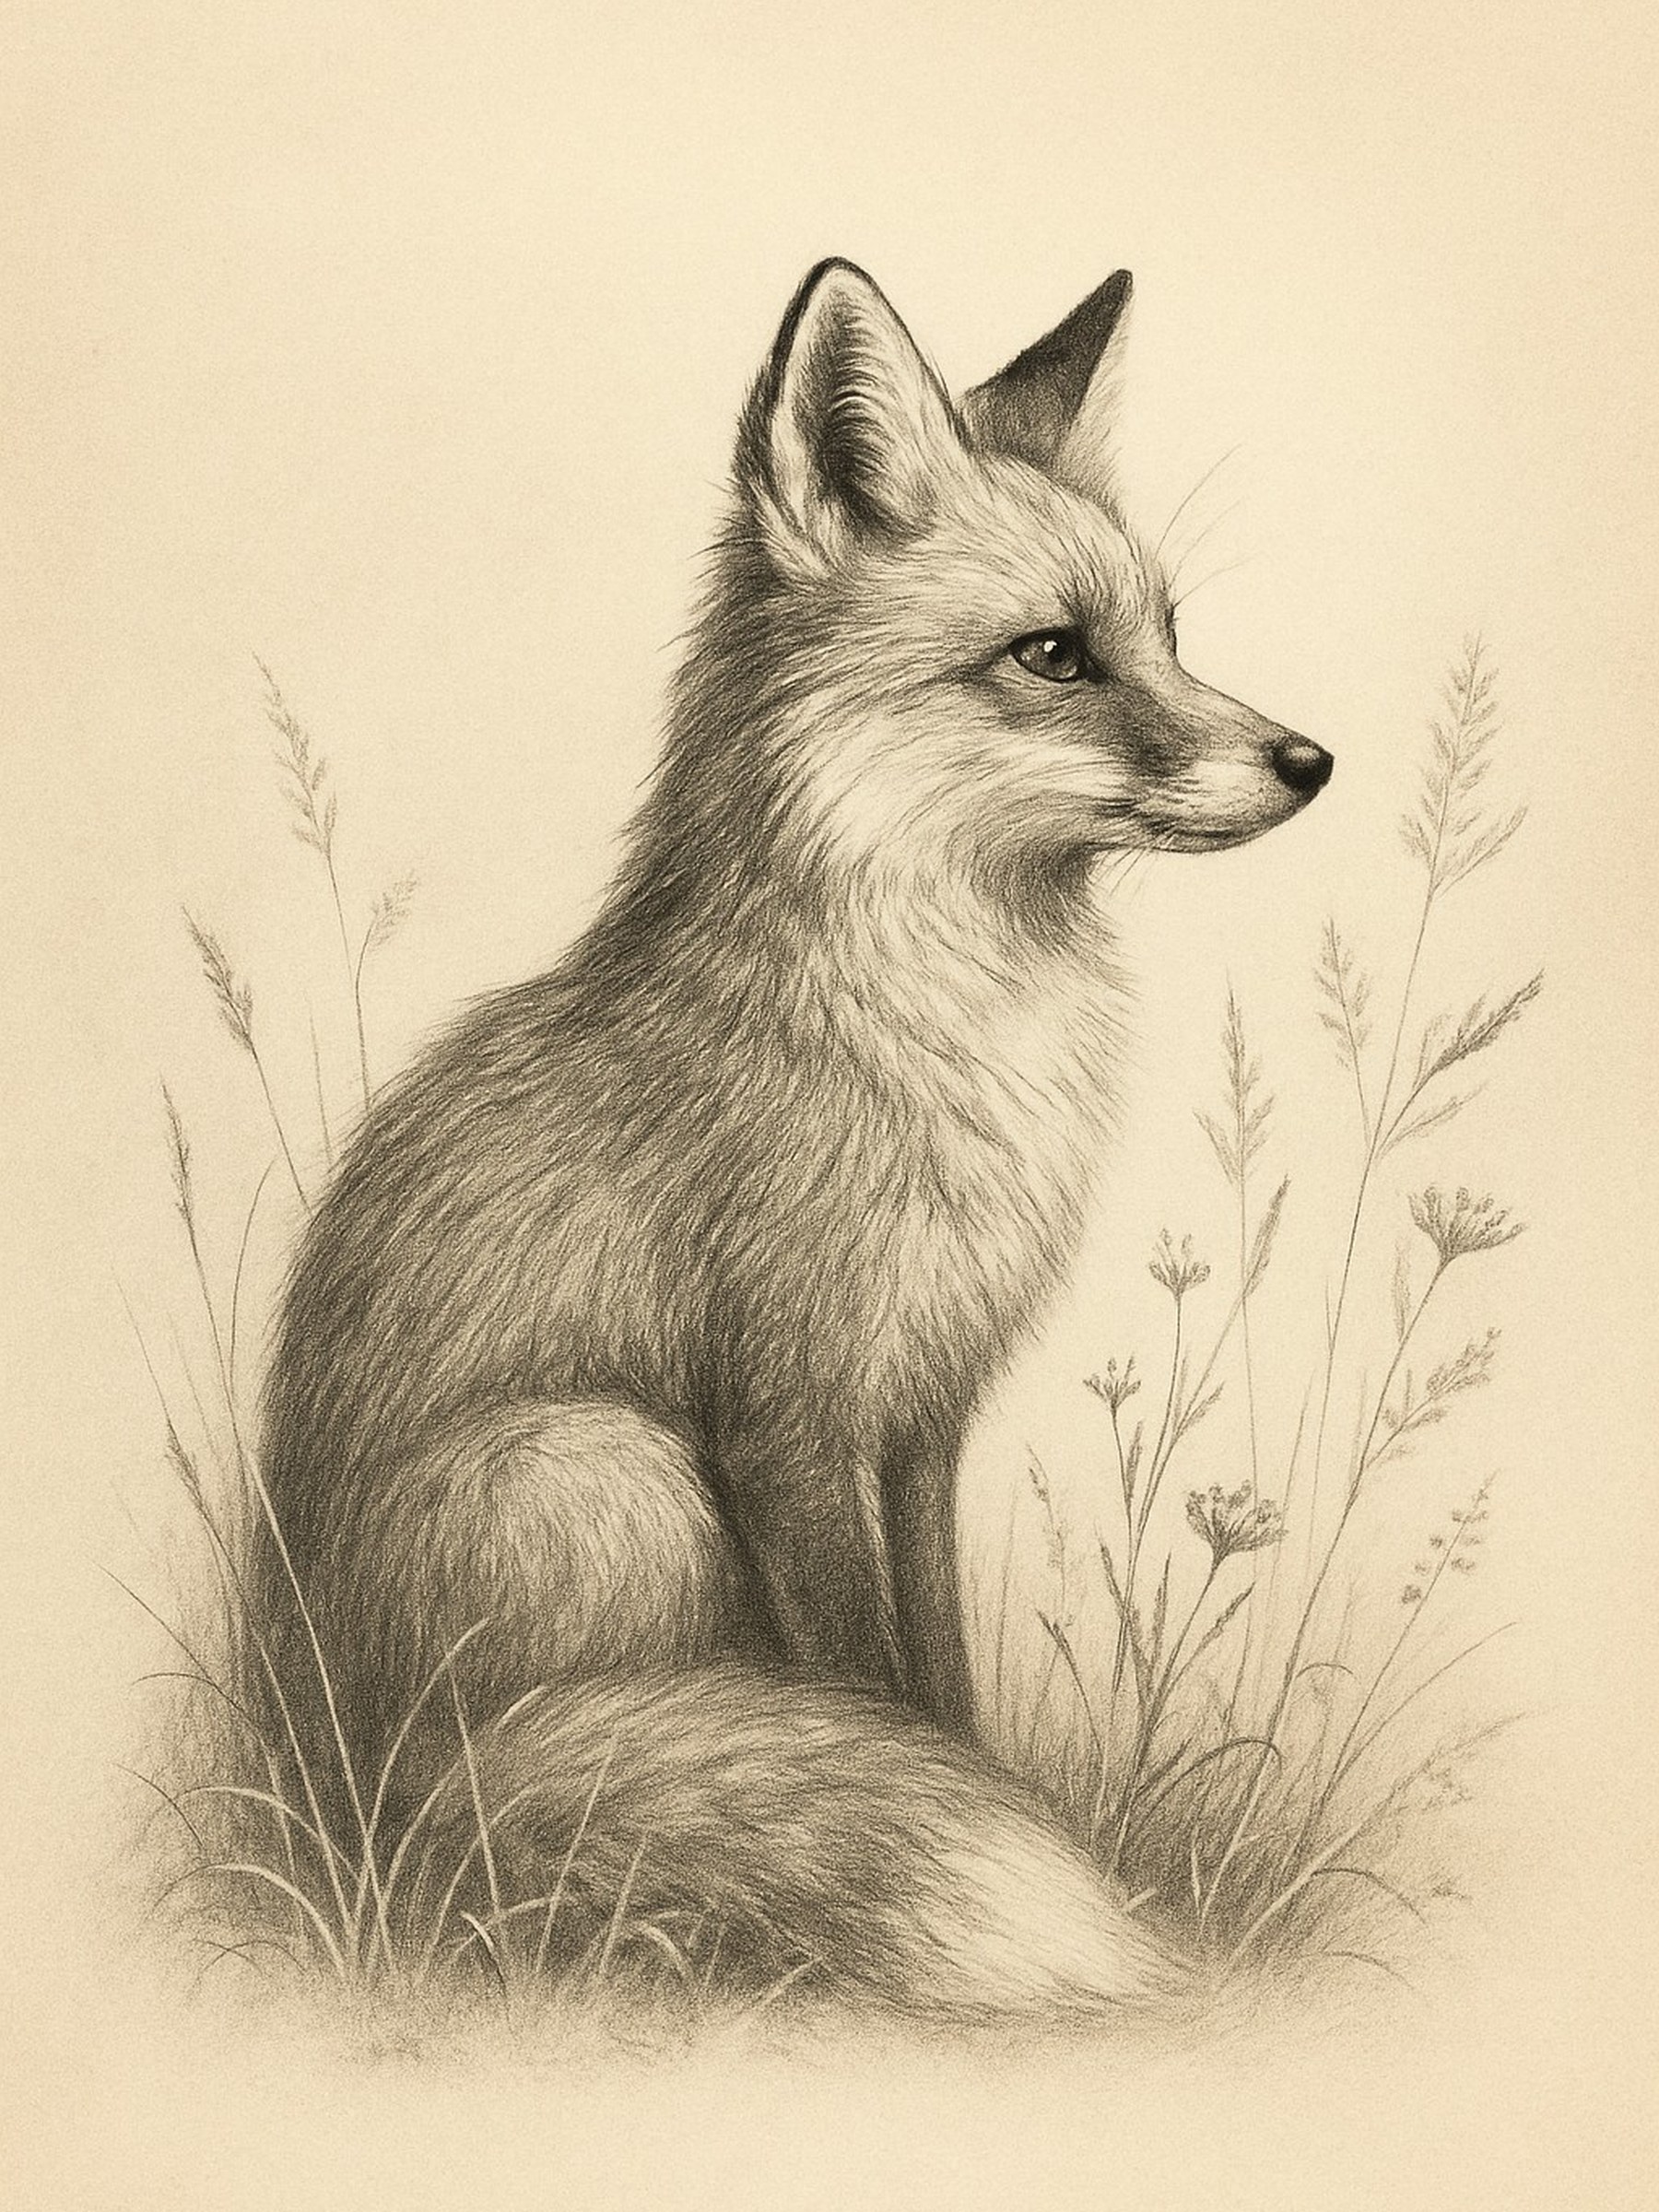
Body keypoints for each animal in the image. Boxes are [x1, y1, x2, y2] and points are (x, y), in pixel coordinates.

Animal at [258, 258, 1332, 2020]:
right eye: (1055, 654)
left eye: (1171, 636)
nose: (1311, 760)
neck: (934, 1044)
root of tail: (324, 1774)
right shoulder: (786, 1419)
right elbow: (861, 1681)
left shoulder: (922, 1420)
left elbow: (937, 1683)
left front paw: (991, 1799)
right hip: (609, 1469)